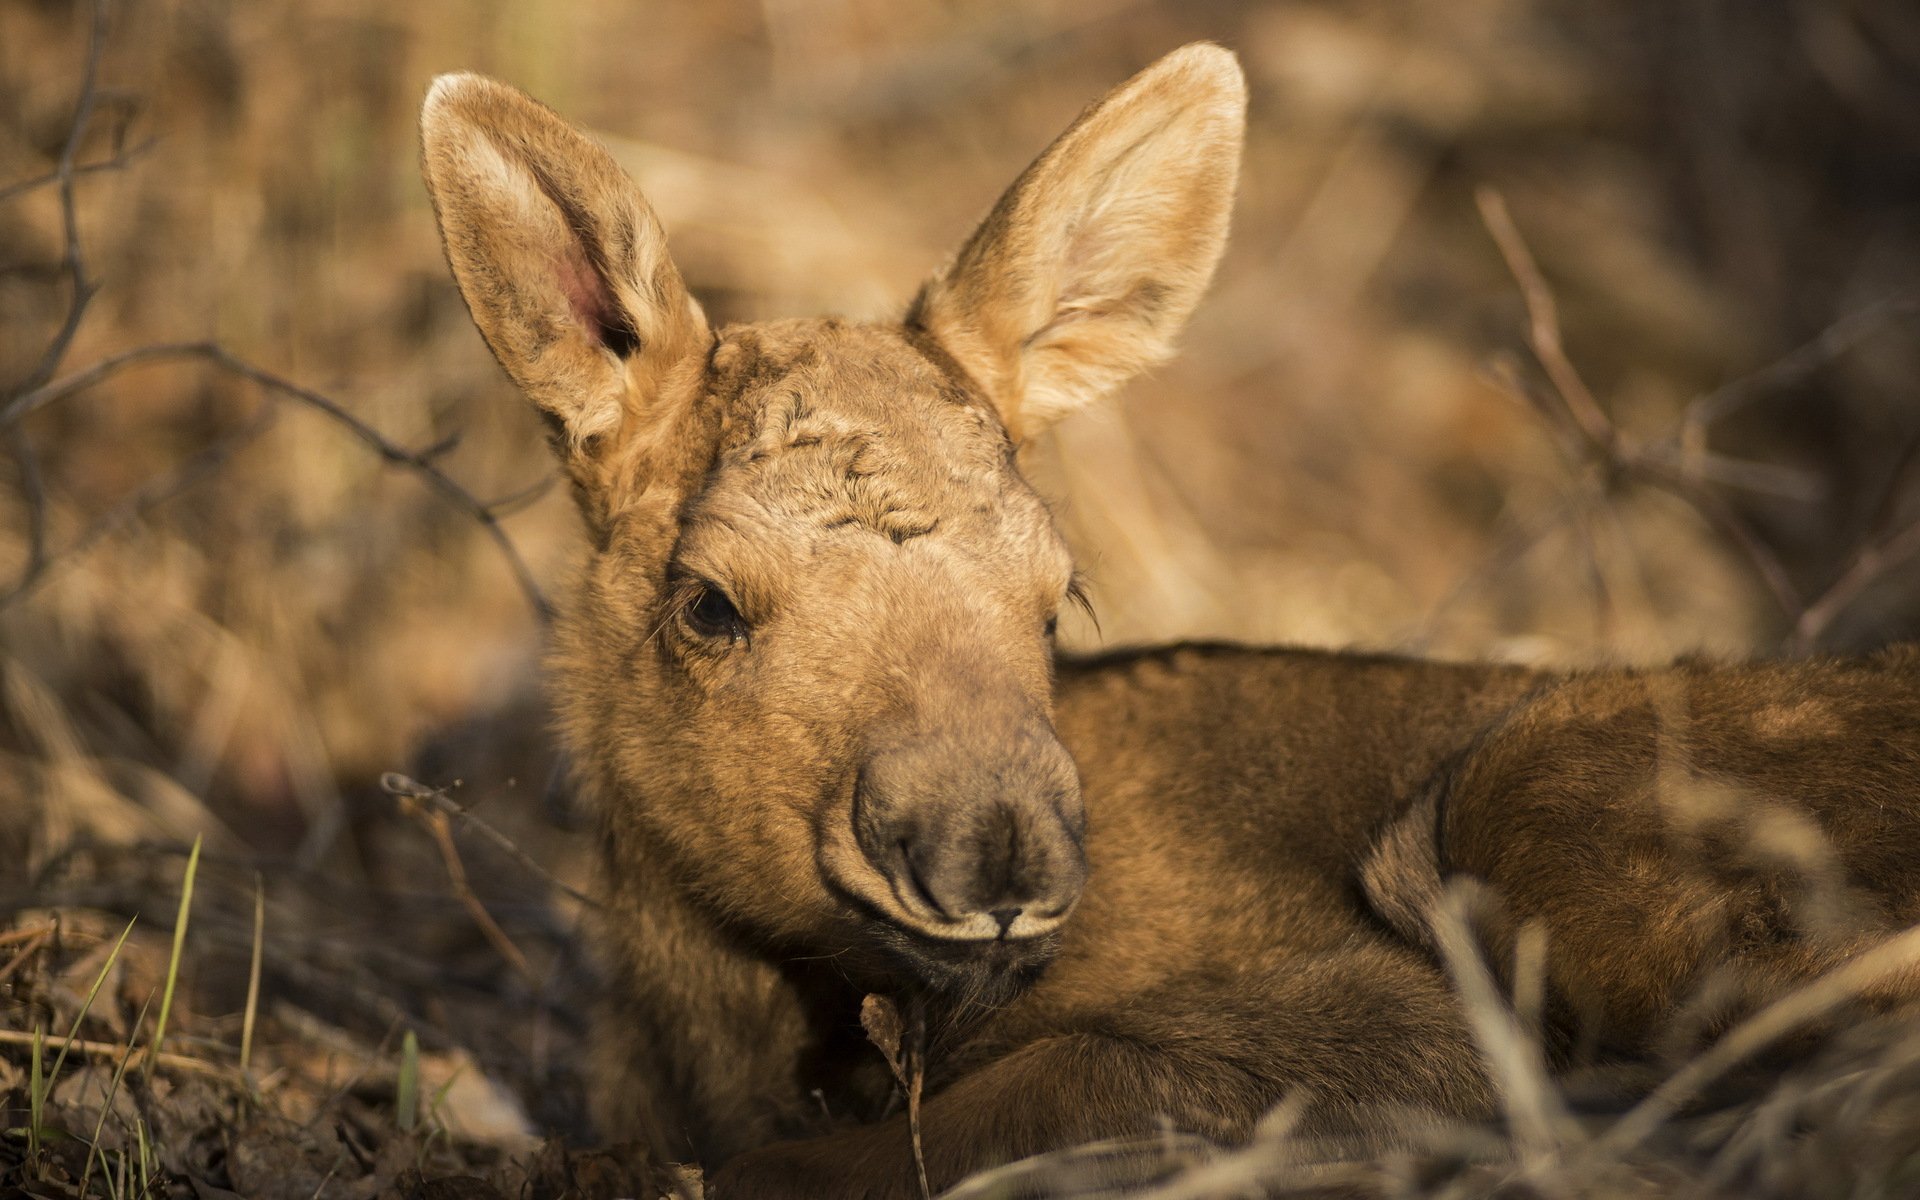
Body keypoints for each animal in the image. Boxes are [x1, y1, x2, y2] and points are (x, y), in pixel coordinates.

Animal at [417, 43, 1920, 1199]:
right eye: (708, 604)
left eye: (1058, 592)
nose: (993, 856)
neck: (724, 1026)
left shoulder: (1393, 1016)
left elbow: (956, 1114)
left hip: (1527, 784)